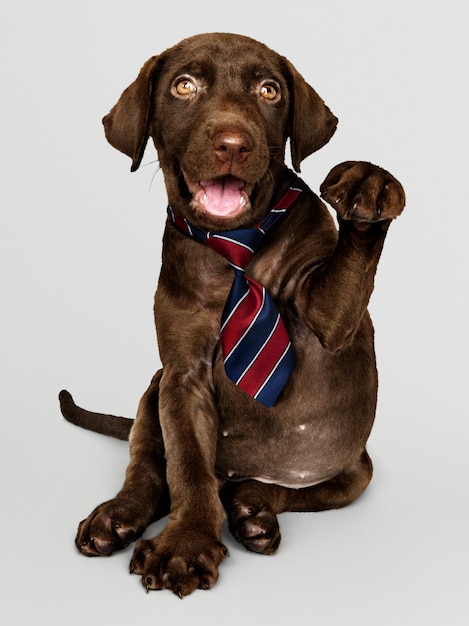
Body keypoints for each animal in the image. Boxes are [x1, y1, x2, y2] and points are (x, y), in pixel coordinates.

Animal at [57, 33, 402, 596]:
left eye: (269, 90)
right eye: (183, 86)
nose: (233, 144)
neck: (236, 246)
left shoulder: (330, 320)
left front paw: (366, 185)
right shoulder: (182, 375)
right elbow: (187, 466)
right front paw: (185, 543)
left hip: (355, 469)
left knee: (298, 489)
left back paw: (253, 509)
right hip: (153, 389)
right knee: (148, 468)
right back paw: (120, 517)